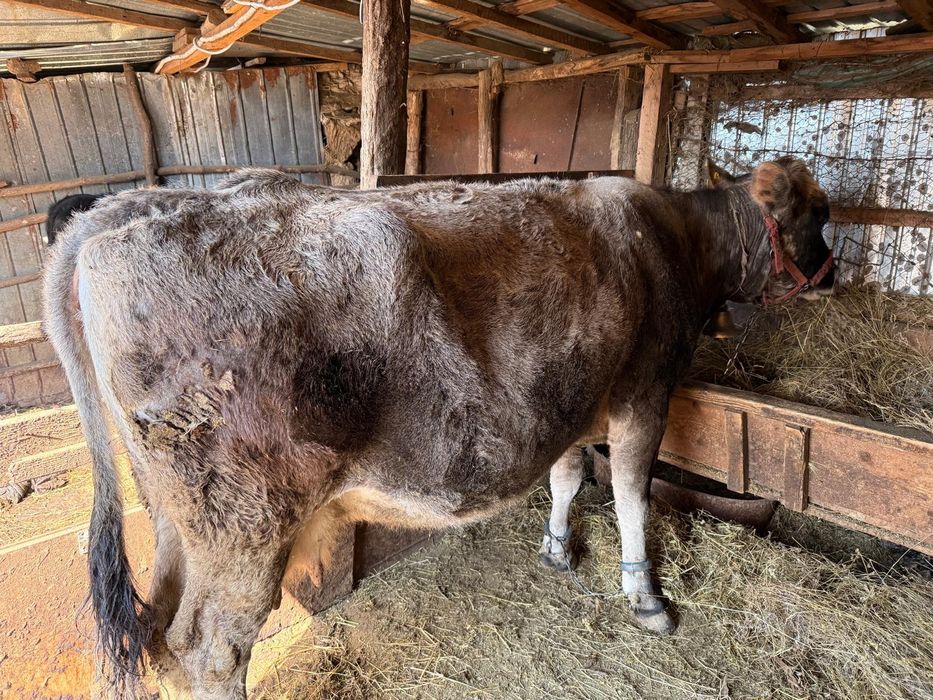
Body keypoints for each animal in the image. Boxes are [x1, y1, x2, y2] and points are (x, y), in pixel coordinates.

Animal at [43, 156, 834, 698]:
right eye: (819, 213)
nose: (832, 273)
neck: (673, 240)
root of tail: (110, 219)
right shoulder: (645, 388)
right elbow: (634, 491)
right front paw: (645, 597)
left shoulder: (575, 396)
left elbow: (567, 474)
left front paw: (556, 549)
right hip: (244, 524)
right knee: (211, 649)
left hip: (174, 515)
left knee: (157, 630)